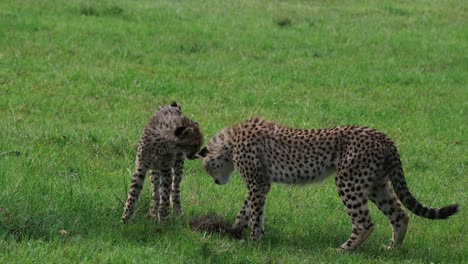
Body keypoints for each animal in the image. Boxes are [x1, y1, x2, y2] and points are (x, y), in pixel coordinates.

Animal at [196, 118, 458, 251]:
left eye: (207, 168)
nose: (217, 182)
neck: (230, 141)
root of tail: (383, 136)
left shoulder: (258, 183)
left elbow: (254, 210)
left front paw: (253, 240)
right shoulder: (262, 183)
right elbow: (248, 208)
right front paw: (235, 228)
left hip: (348, 181)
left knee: (365, 222)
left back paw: (345, 249)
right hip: (376, 184)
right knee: (400, 215)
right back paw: (392, 248)